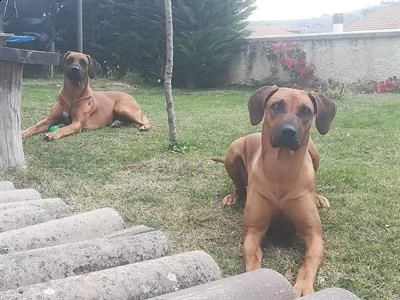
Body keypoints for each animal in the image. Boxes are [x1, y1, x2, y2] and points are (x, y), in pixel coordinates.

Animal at [21, 51, 151, 141]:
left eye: (84, 63)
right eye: (69, 60)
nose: (75, 69)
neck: (72, 94)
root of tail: (130, 96)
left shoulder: (77, 123)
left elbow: (64, 128)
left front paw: (53, 134)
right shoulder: (49, 119)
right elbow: (35, 126)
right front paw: (22, 132)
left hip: (122, 107)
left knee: (144, 121)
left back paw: (144, 126)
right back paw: (117, 123)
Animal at [214, 85, 336, 296]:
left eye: (306, 110)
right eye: (276, 106)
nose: (288, 131)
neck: (282, 168)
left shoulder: (315, 236)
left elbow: (308, 260)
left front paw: (303, 287)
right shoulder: (253, 231)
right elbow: (253, 261)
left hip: (314, 151)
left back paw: (318, 197)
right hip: (233, 149)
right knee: (238, 184)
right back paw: (234, 196)